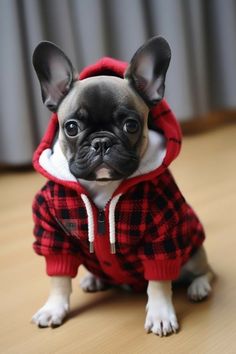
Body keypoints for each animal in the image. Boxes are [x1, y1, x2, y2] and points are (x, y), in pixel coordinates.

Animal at [30, 37, 213, 336]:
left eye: (130, 125)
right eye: (71, 127)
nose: (101, 141)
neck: (105, 187)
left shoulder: (162, 234)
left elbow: (159, 280)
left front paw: (161, 314)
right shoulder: (51, 231)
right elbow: (58, 276)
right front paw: (53, 307)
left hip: (193, 252)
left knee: (204, 270)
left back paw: (199, 287)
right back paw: (94, 279)